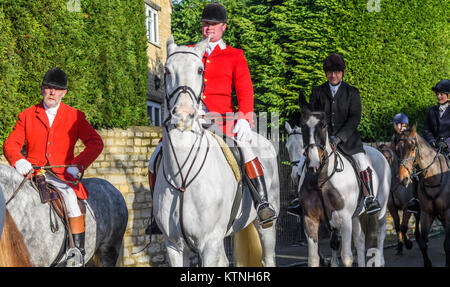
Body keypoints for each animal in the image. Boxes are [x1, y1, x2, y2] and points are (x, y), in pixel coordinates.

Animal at [155, 36, 282, 268]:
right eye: (167, 70)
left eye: (199, 70)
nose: (184, 114)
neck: (182, 177)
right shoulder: (174, 246)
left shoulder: (209, 242)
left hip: (266, 225)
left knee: (268, 257)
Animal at [396, 126, 448, 268]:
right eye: (397, 149)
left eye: (412, 148)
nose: (403, 179)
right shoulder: (426, 213)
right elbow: (423, 243)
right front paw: (427, 263)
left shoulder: (448, 212)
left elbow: (447, 245)